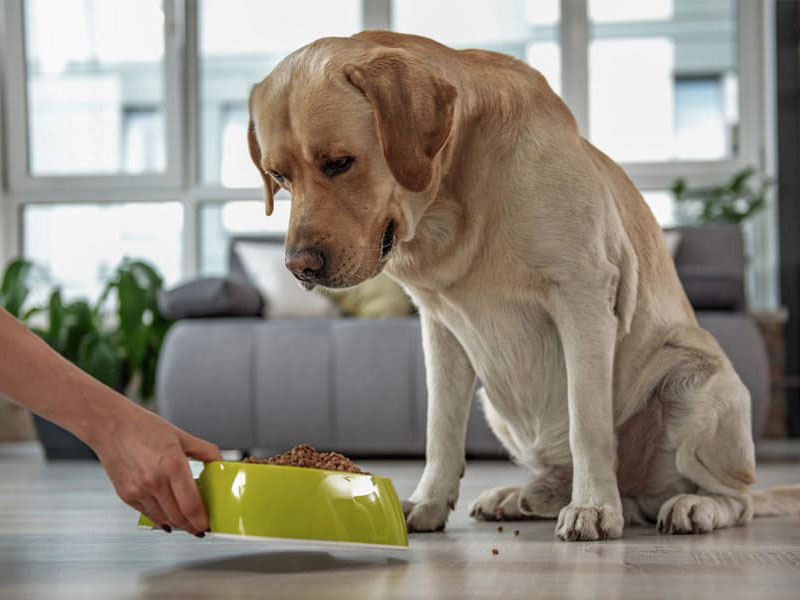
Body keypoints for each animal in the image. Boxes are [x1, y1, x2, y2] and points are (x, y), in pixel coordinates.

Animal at [247, 30, 796, 540]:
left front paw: (594, 508)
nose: (299, 267)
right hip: (497, 404)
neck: (452, 206)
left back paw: (689, 506)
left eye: (339, 163)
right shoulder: (440, 328)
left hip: (695, 380)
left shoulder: (583, 298)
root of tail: (640, 493)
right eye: (279, 176)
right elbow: (439, 428)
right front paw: (428, 503)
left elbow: (588, 424)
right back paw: (523, 496)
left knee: (738, 499)